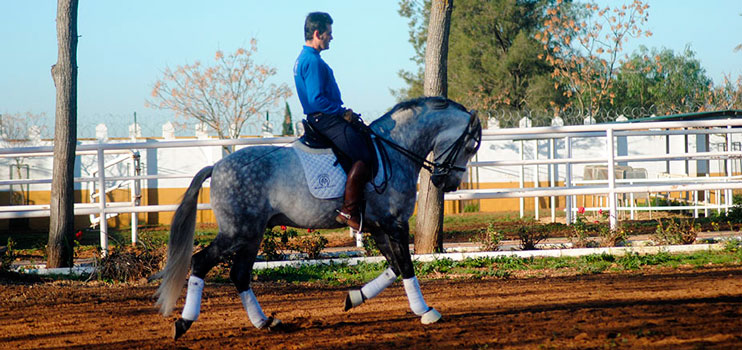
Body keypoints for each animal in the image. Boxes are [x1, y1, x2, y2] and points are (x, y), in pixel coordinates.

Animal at [154, 95, 486, 340]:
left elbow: (393, 266)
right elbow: (405, 265)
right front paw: (426, 311)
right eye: (470, 146)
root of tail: (218, 166)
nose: (448, 183)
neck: (394, 150)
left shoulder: (378, 226)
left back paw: (265, 322)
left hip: (251, 235)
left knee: (239, 274)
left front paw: (354, 297)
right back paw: (183, 323)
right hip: (238, 232)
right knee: (201, 262)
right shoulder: (395, 223)